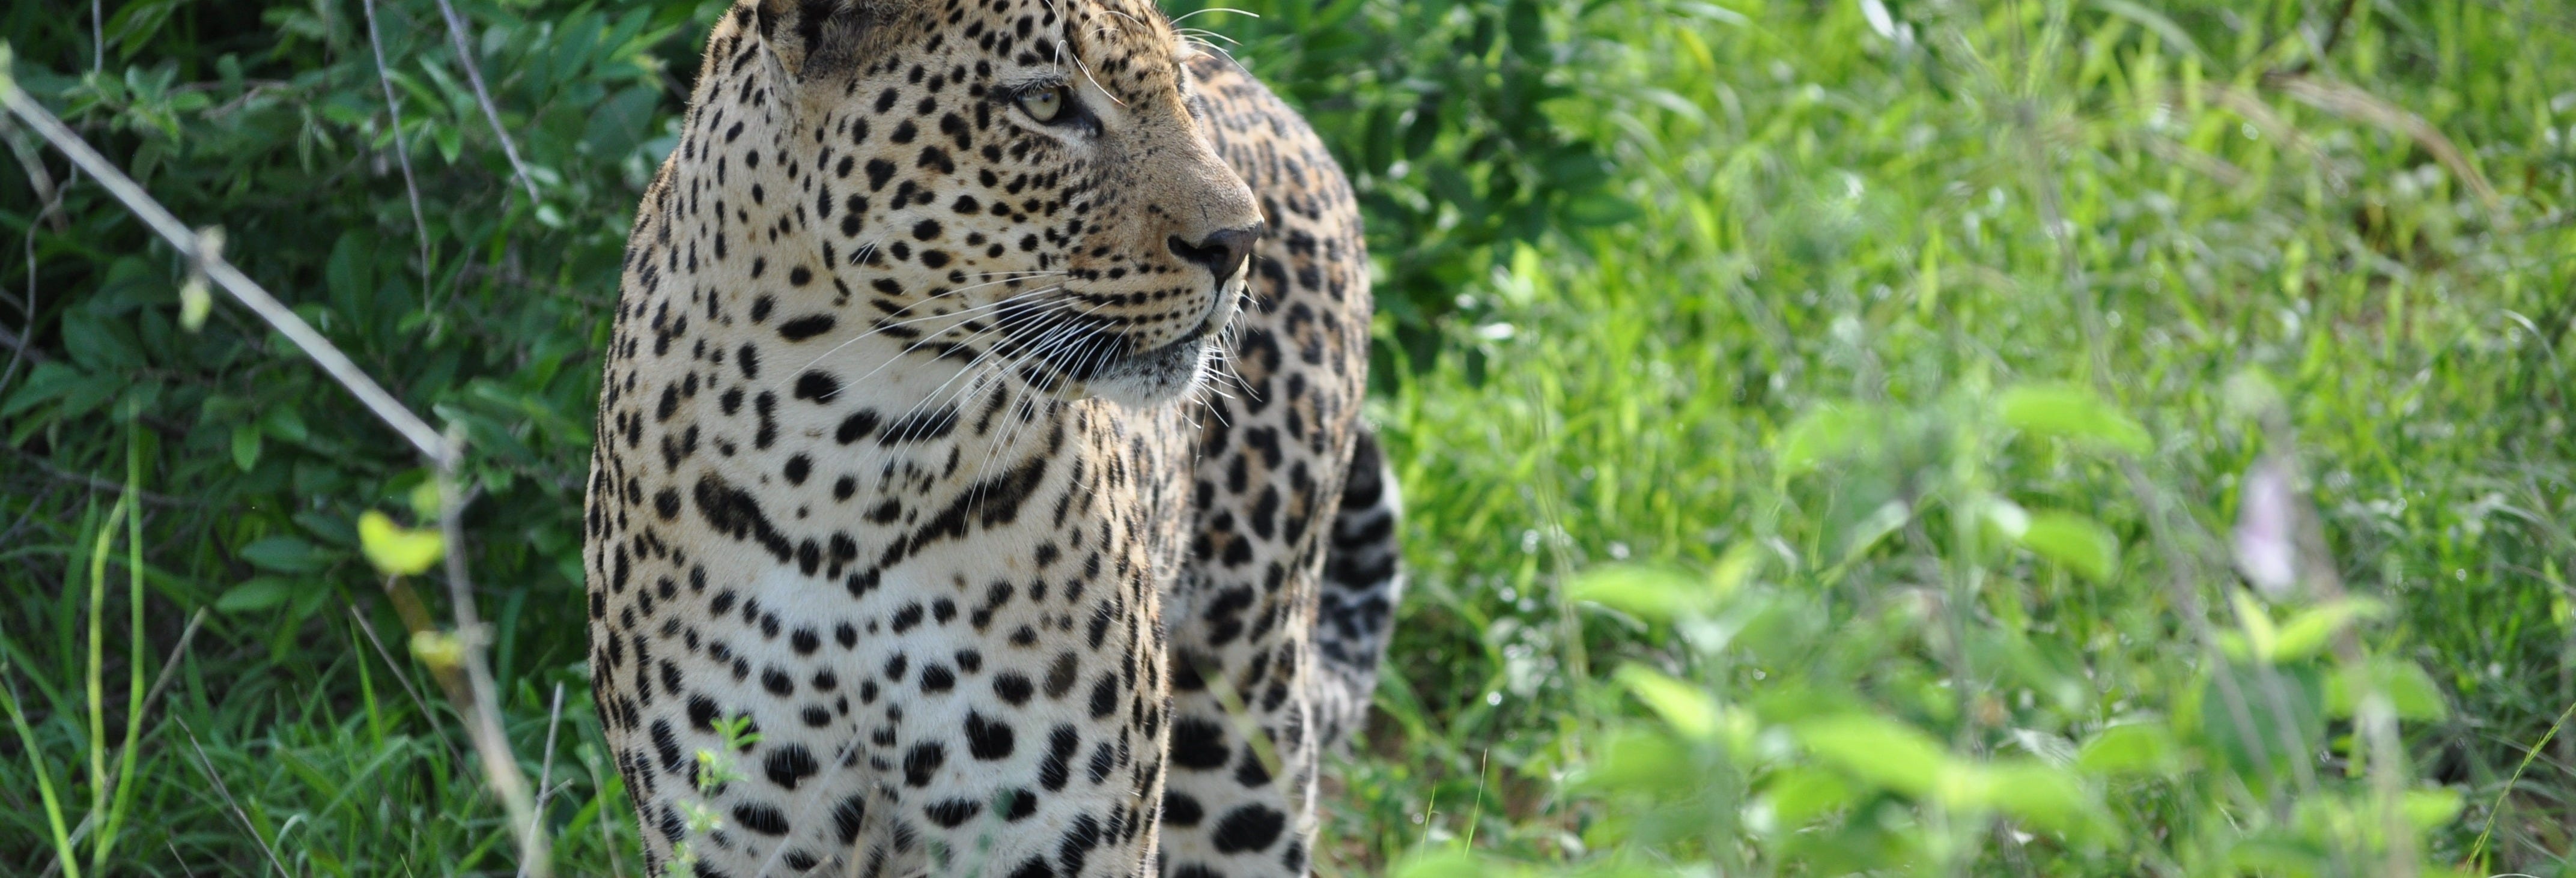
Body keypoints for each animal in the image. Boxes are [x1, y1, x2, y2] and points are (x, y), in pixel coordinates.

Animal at [579, 0, 1411, 870]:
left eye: (1177, 92)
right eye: (1045, 103)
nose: (1242, 241)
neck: (842, 463)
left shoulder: (1066, 832)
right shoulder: (727, 827)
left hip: (1248, 713)